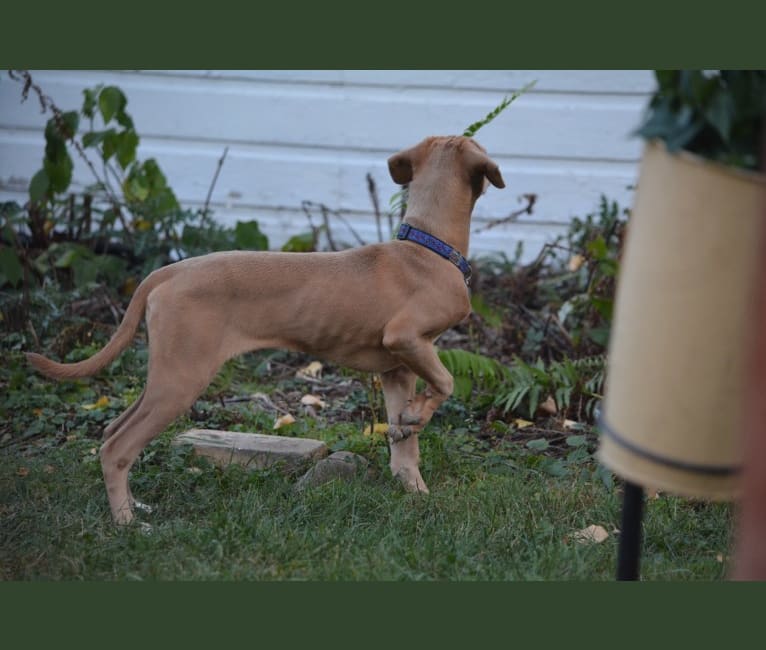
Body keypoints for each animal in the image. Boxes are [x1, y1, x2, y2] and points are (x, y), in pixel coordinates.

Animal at [25, 134, 504, 524]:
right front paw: (417, 416)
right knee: (118, 447)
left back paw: (134, 505)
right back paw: (126, 523)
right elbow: (447, 381)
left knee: (112, 430)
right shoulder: (405, 339)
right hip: (182, 377)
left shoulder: (397, 367)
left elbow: (407, 445)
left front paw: (414, 483)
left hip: (164, 373)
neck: (428, 248)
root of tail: (167, 272)